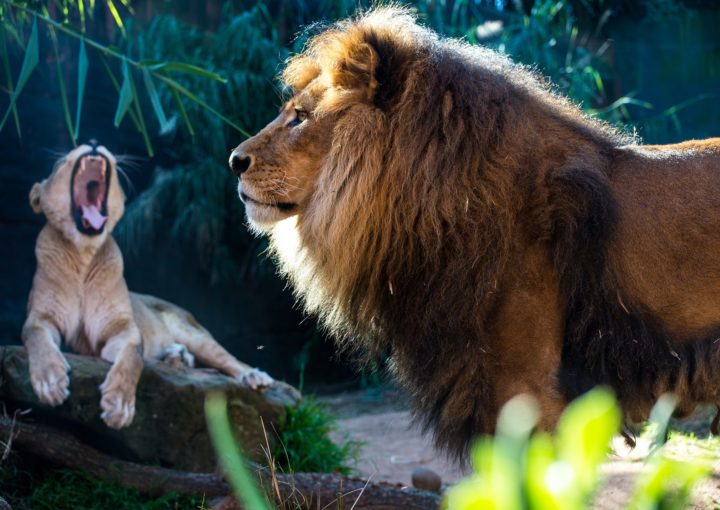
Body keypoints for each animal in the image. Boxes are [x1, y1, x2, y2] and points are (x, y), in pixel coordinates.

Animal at [26, 141, 272, 428]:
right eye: (59, 163)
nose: (95, 143)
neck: (83, 255)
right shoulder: (40, 318)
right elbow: (38, 340)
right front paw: (50, 383)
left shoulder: (125, 329)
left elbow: (132, 359)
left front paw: (119, 407)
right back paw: (176, 356)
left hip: (194, 332)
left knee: (227, 359)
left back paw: (253, 376)